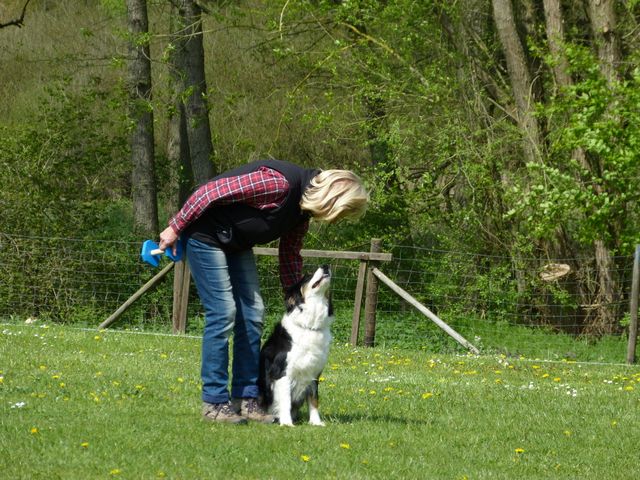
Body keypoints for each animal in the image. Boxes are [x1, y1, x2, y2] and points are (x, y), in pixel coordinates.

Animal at [258, 265, 333, 426]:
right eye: (308, 275)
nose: (326, 266)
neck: (309, 326)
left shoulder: (313, 372)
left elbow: (314, 399)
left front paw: (316, 422)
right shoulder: (282, 372)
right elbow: (285, 400)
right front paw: (287, 423)